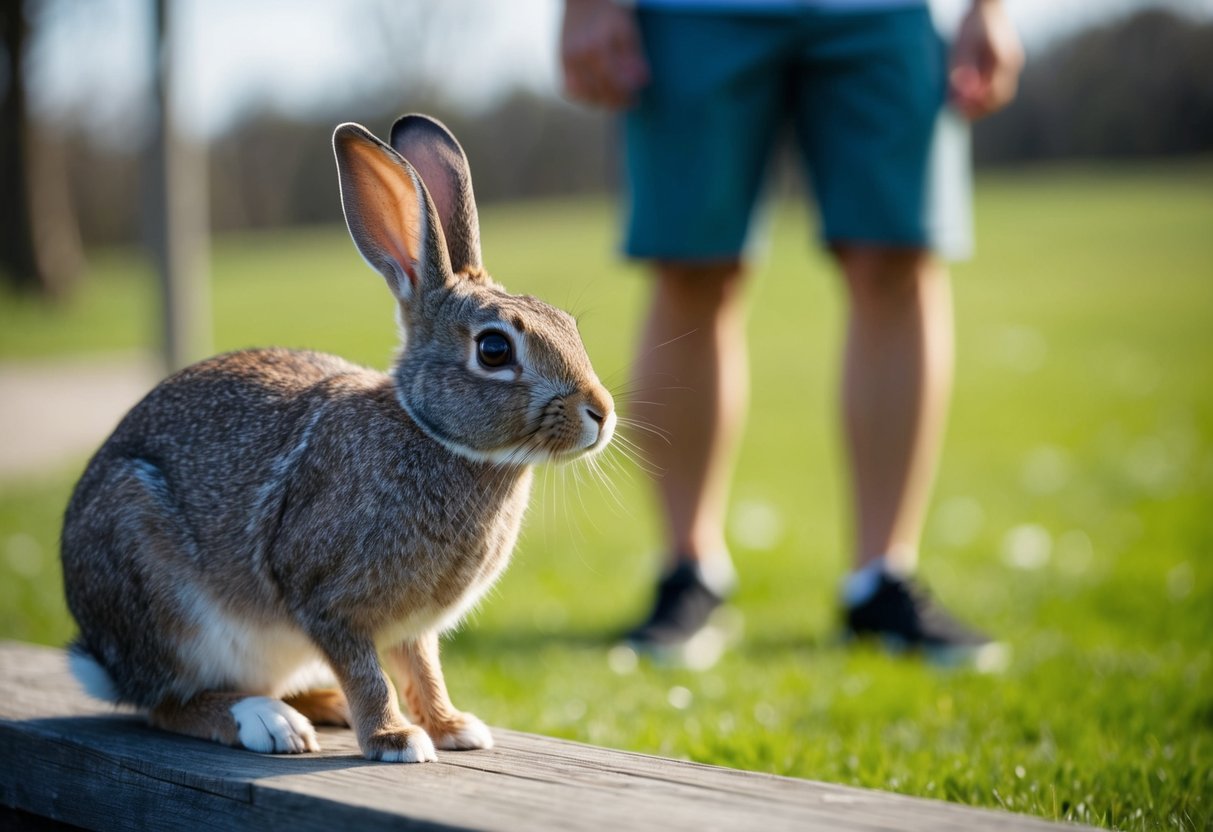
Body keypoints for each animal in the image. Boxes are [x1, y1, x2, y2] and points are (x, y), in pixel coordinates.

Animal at [59, 114, 616, 763]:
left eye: (569, 324)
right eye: (495, 349)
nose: (601, 413)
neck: (432, 435)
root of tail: (106, 659)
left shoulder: (412, 627)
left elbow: (423, 669)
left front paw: (453, 729)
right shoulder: (326, 601)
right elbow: (366, 673)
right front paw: (396, 740)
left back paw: (320, 707)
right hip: (162, 592)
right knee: (167, 704)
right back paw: (268, 723)